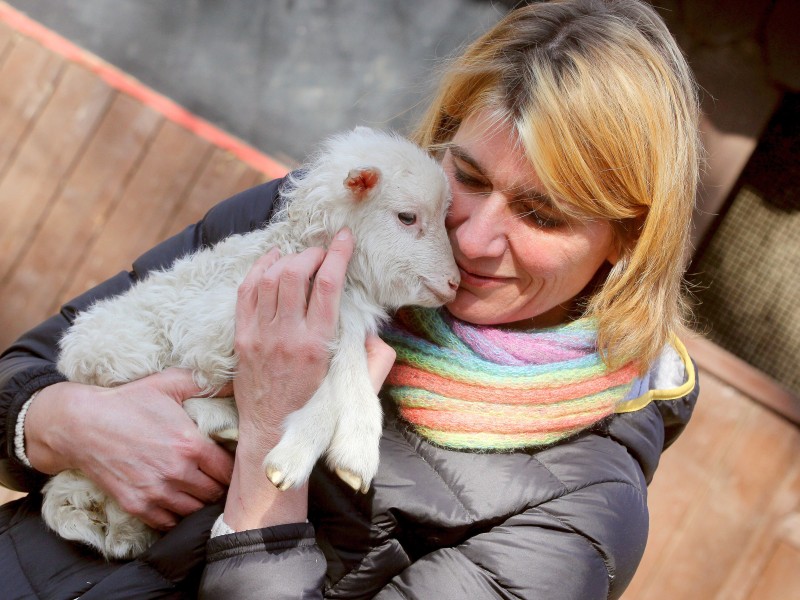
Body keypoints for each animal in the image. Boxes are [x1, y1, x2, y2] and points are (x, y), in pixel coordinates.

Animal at [43, 125, 460, 556]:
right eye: (407, 217)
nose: (454, 282)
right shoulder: (216, 327)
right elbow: (337, 356)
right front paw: (320, 453)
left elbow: (347, 362)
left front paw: (345, 449)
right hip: (123, 350)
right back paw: (222, 422)